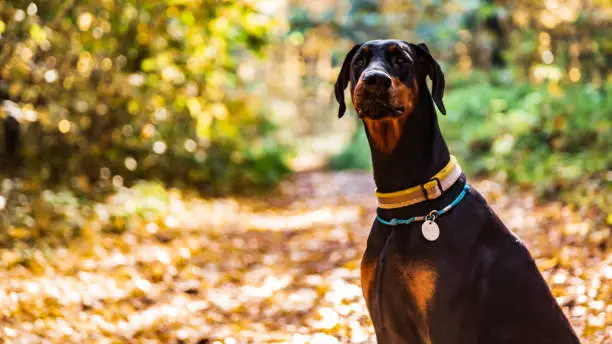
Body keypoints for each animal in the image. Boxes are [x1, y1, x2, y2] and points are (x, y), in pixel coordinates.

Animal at [334, 40, 580, 344]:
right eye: (360, 61)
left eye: (401, 60)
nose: (375, 79)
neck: (406, 207)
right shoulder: (386, 325)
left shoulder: (446, 321)